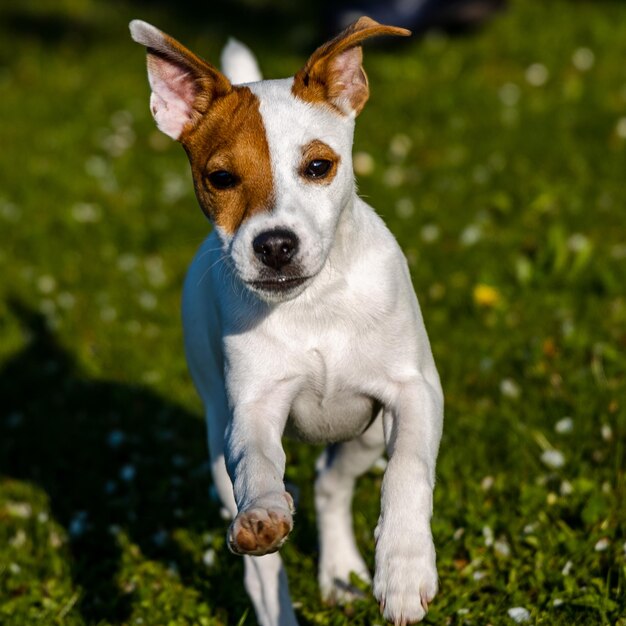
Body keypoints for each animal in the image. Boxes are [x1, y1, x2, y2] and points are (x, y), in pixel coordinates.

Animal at [129, 15, 442, 624]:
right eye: (221, 178)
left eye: (318, 167)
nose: (274, 245)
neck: (313, 304)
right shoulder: (252, 410)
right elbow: (257, 464)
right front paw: (264, 512)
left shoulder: (414, 390)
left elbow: (408, 470)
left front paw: (404, 568)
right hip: (216, 432)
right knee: (264, 566)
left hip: (367, 433)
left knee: (332, 483)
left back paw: (341, 570)